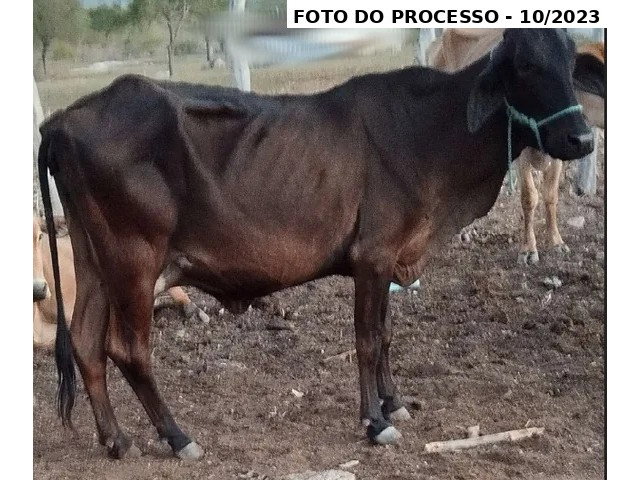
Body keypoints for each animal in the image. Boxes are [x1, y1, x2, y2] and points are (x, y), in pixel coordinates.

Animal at [428, 29, 605, 265]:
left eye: (572, 64)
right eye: (525, 66)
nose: (585, 140)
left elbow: (550, 195)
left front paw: (556, 241)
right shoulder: (522, 154)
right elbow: (529, 197)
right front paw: (528, 249)